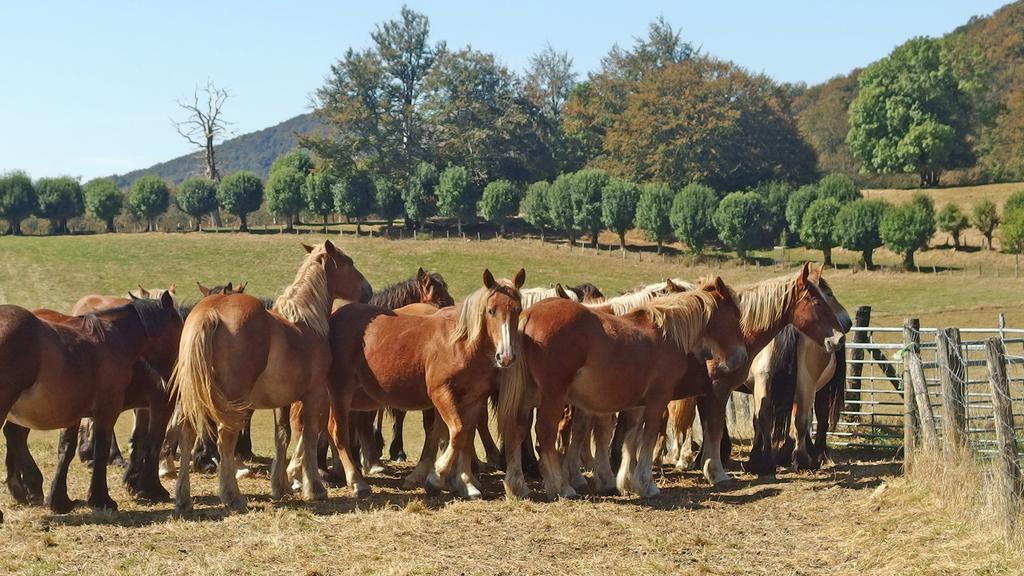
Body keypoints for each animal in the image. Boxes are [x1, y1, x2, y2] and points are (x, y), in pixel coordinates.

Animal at [0, 291, 181, 516]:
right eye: (179, 328)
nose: (170, 378)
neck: (114, 341)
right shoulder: (111, 409)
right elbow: (108, 448)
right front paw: (104, 498)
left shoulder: (74, 411)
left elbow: (66, 450)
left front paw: (59, 500)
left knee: (15, 437)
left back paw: (24, 488)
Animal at [169, 238, 370, 510]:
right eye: (349, 263)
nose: (367, 290)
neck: (306, 324)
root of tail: (210, 312)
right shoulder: (313, 394)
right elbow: (309, 435)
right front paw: (314, 488)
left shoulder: (282, 401)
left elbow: (282, 436)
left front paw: (280, 485)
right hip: (232, 402)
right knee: (225, 439)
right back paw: (232, 496)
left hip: (194, 396)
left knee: (186, 433)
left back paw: (183, 498)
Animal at [499, 276, 749, 498]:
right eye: (735, 315)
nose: (741, 357)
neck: (667, 334)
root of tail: (529, 314)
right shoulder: (658, 398)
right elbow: (647, 437)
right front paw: (646, 484)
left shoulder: (638, 403)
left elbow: (631, 438)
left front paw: (627, 482)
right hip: (554, 395)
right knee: (545, 432)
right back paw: (561, 487)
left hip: (527, 395)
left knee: (517, 430)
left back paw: (517, 487)